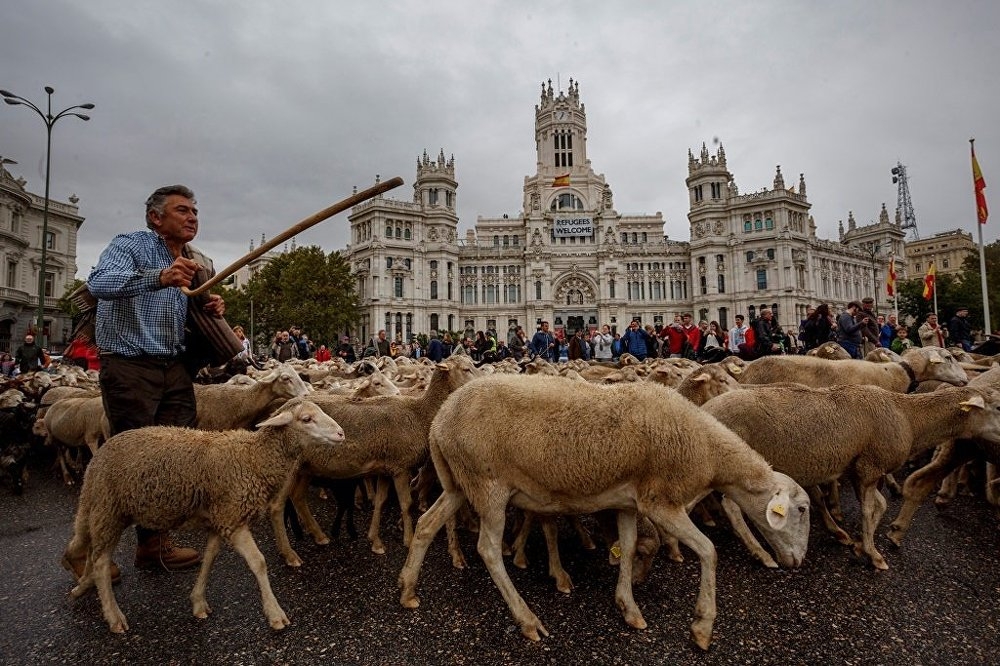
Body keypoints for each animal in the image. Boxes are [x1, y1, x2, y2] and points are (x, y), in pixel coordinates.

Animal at [62, 396, 346, 632]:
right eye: (306, 419)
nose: (341, 433)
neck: (253, 457)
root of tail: (97, 458)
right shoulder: (234, 518)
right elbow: (259, 563)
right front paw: (275, 614)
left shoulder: (219, 519)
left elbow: (210, 557)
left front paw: (198, 602)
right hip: (108, 510)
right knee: (100, 563)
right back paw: (114, 616)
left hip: (104, 511)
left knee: (91, 551)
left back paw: (83, 584)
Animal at [394, 374, 808, 648]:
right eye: (802, 509)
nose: (798, 562)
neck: (707, 449)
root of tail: (439, 421)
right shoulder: (660, 501)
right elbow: (709, 551)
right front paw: (702, 627)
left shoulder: (626, 501)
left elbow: (628, 546)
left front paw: (629, 606)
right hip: (489, 486)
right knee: (488, 550)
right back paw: (527, 620)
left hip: (458, 484)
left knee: (428, 524)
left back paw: (408, 588)